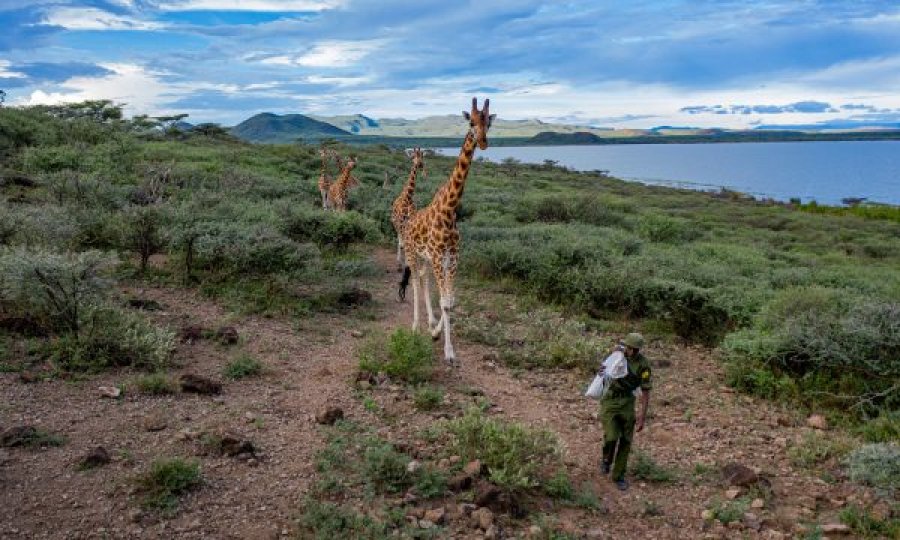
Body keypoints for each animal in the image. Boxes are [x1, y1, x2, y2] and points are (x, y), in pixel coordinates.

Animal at [400, 99, 496, 364]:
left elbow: (449, 301)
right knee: (415, 281)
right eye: (471, 121)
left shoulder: (451, 259)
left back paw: (430, 322)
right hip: (413, 253)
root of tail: (408, 222)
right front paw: (448, 352)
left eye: (489, 122)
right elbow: (444, 302)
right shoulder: (437, 257)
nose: (483, 142)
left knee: (423, 279)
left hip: (425, 258)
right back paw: (415, 326)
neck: (449, 210)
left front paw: (436, 333)